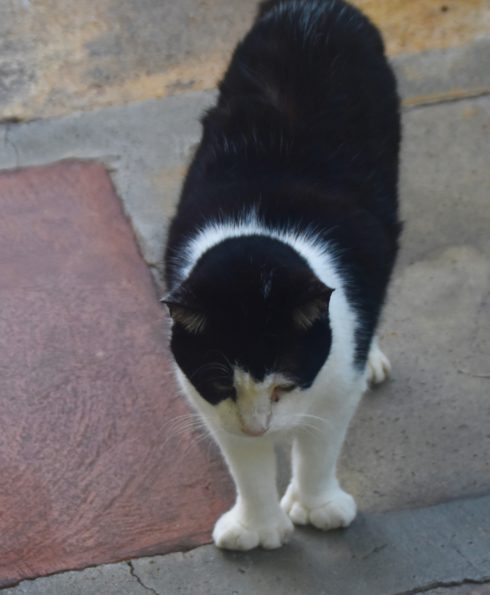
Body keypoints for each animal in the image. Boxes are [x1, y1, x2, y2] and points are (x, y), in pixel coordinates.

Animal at [163, 0, 400, 556]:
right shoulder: (209, 405)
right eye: (222, 384)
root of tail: (313, 7)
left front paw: (316, 506)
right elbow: (246, 467)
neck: (262, 221)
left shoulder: (336, 384)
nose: (259, 428)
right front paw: (258, 526)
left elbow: (318, 448)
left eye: (283, 386)